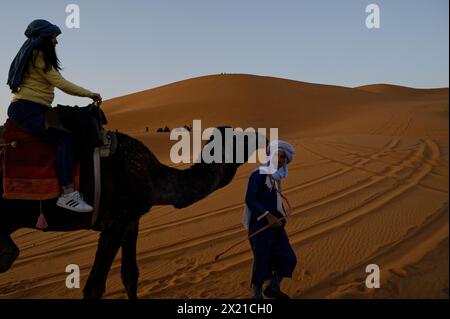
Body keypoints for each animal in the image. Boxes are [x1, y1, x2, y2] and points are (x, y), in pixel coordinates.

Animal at [0, 125, 258, 300]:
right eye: (241, 139)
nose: (262, 137)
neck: (152, 176)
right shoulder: (115, 221)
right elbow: (94, 287)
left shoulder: (132, 220)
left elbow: (130, 275)